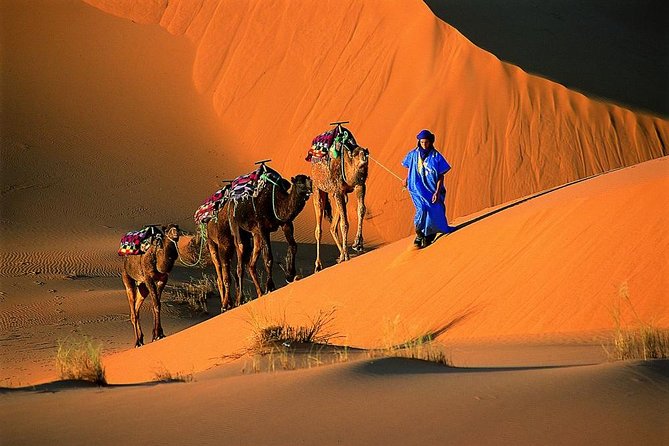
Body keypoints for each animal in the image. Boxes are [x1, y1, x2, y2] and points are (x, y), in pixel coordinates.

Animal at [226, 169, 314, 302]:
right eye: (299, 182)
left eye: (308, 179)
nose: (311, 186)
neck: (277, 204)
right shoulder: (263, 228)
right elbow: (268, 257)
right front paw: (270, 286)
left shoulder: (286, 223)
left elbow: (293, 246)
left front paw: (290, 275)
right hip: (236, 226)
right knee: (240, 260)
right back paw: (240, 299)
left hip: (254, 234)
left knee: (251, 262)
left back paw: (260, 293)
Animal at [310, 124, 368, 272]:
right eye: (356, 155)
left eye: (365, 153)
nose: (364, 160)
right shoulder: (338, 191)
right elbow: (344, 223)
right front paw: (348, 254)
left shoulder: (359, 185)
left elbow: (361, 210)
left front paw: (358, 243)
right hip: (318, 189)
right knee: (319, 228)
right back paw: (318, 265)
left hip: (337, 194)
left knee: (332, 226)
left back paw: (341, 255)